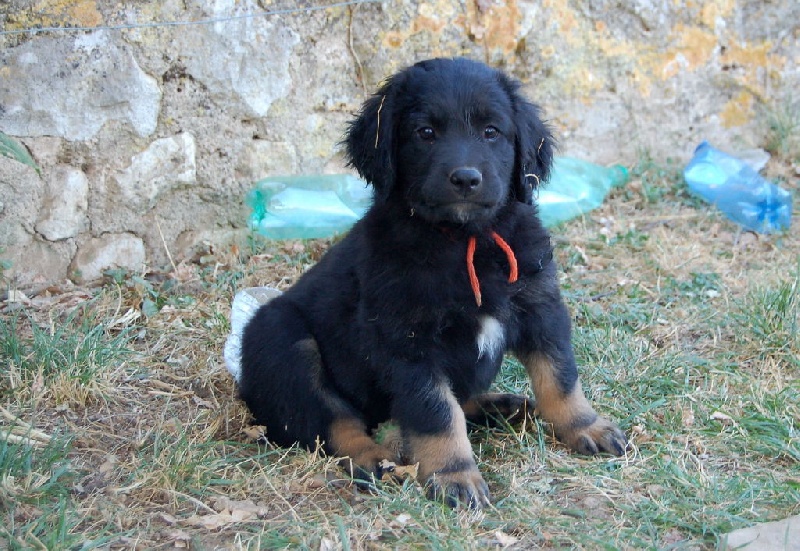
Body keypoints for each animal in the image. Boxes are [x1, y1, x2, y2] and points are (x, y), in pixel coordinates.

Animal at [228, 58, 627, 508]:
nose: (466, 178)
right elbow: (436, 411)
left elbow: (559, 377)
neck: (465, 239)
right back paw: (374, 457)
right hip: (282, 338)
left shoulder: (540, 307)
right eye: (425, 133)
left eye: (492, 131)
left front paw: (586, 425)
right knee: (334, 422)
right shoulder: (408, 340)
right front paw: (455, 474)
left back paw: (501, 406)